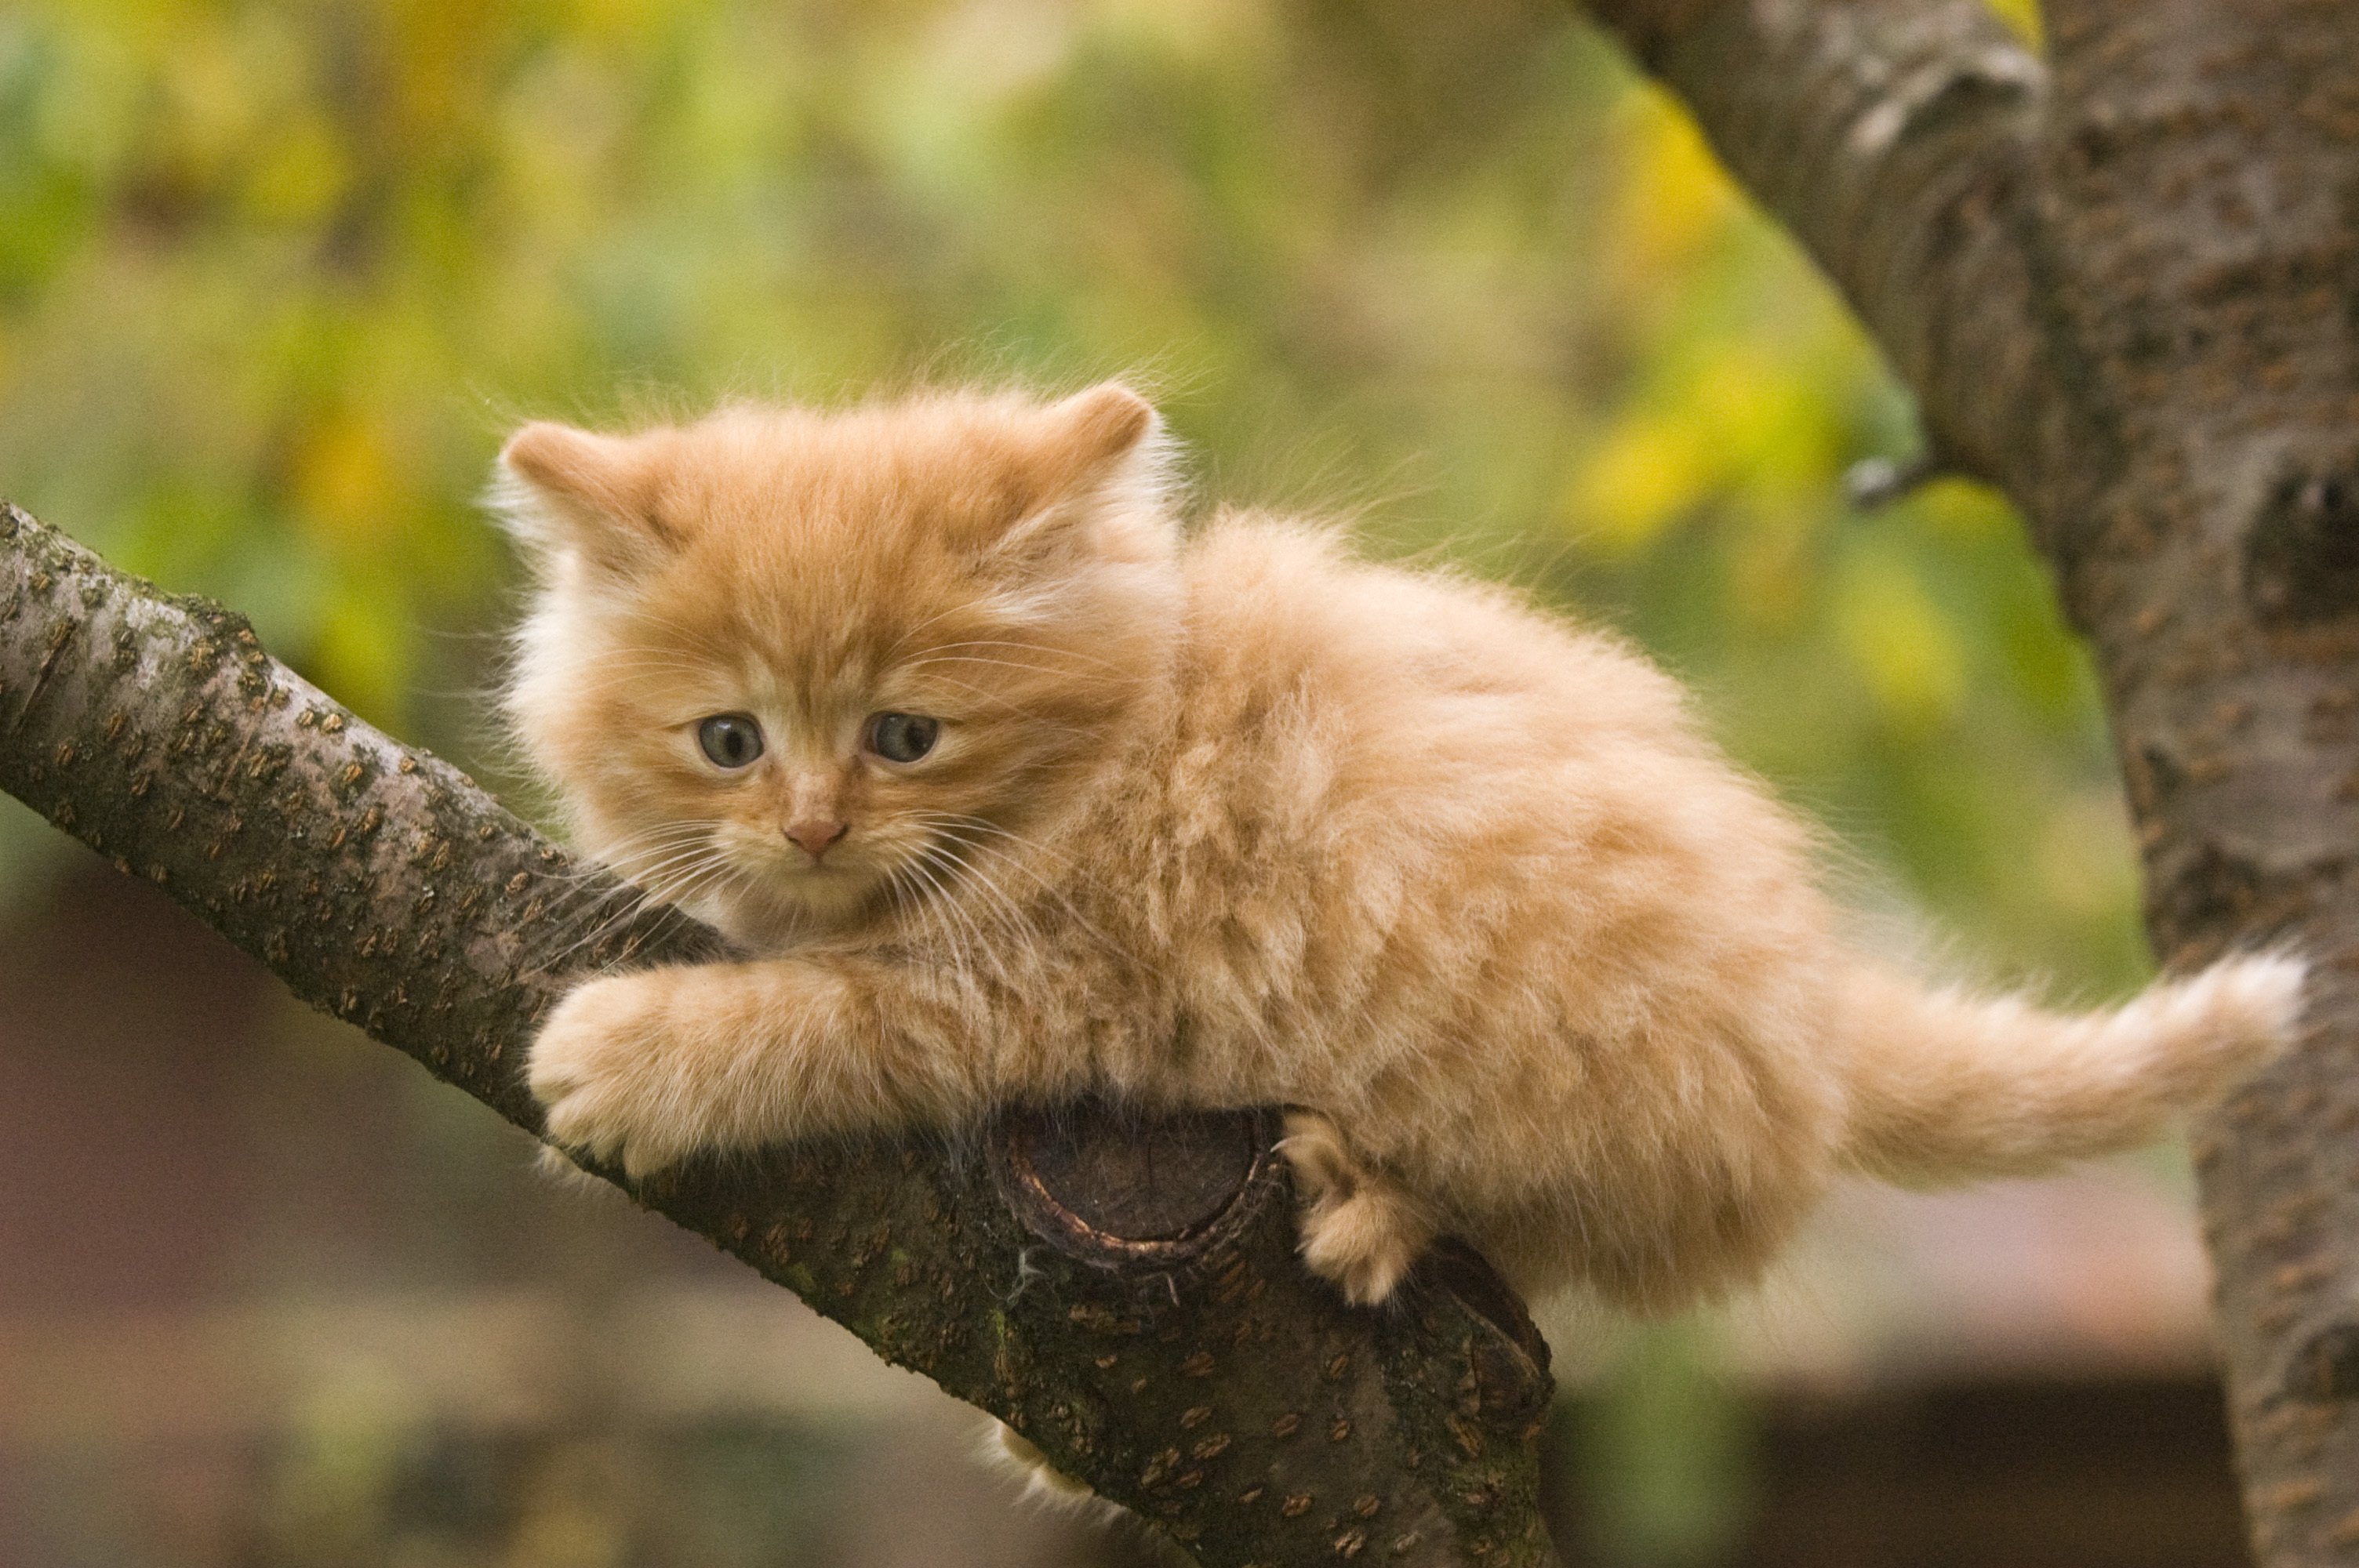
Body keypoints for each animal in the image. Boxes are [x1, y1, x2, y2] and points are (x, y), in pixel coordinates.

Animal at [497, 379, 2302, 1311]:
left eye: (902, 737)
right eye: (728, 742)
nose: (811, 824)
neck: (1124, 742)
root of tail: (1815, 1003)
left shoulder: (1056, 978)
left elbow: (844, 1015)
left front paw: (633, 1056)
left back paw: (1377, 1206)